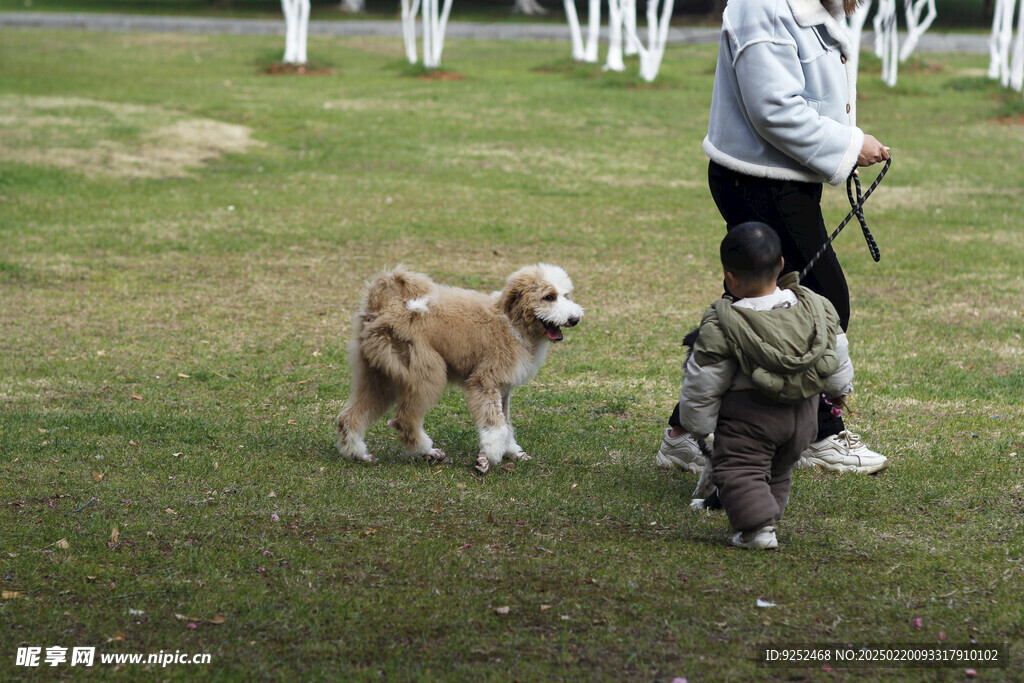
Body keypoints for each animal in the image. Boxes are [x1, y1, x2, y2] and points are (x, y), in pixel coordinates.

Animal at [331, 264, 581, 473]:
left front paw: (508, 453)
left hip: (380, 378)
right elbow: (497, 425)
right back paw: (428, 451)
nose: (575, 319)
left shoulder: (503, 389)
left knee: (349, 417)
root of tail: (379, 306)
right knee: (404, 421)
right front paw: (490, 455)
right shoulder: (484, 381)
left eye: (566, 295)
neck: (512, 321)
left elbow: (505, 423)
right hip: (427, 373)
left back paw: (358, 454)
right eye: (549, 297)